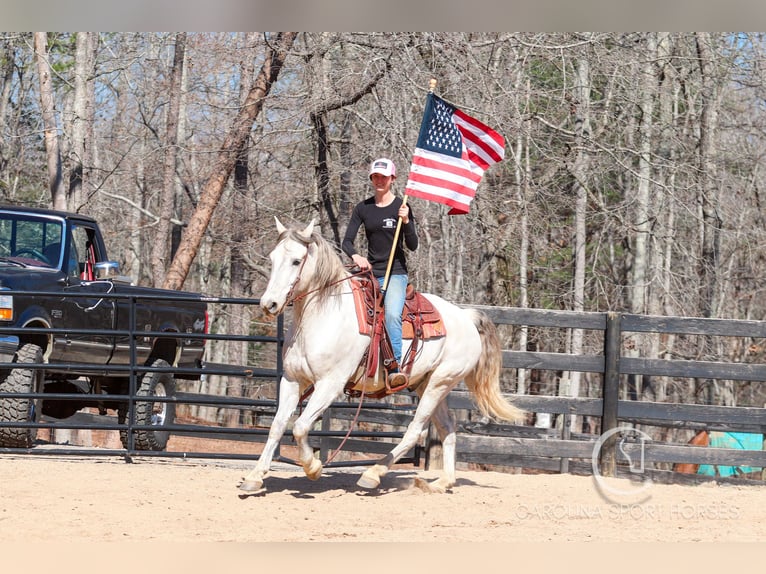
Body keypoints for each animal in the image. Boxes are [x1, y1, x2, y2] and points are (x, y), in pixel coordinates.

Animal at [240, 218, 524, 498]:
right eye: (273, 258)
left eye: (297, 261)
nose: (269, 304)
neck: (323, 316)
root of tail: (466, 317)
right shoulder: (292, 380)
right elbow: (277, 425)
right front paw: (254, 478)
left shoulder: (330, 385)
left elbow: (299, 427)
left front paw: (313, 467)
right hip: (427, 383)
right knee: (448, 428)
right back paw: (441, 483)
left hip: (440, 382)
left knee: (415, 431)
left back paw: (373, 474)